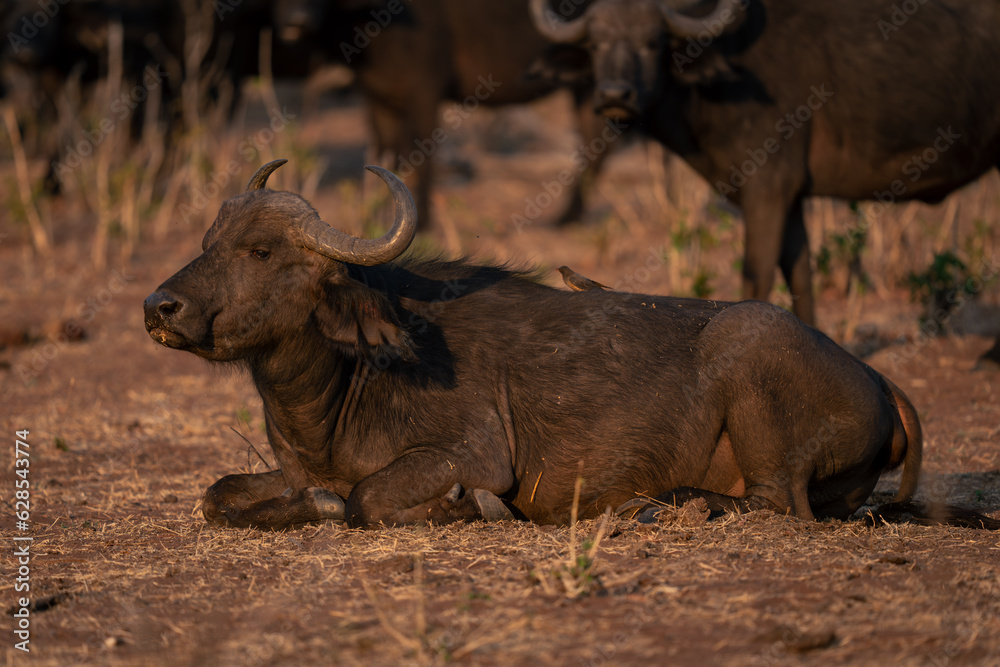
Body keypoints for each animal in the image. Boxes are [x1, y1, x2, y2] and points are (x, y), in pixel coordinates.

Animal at [143, 159, 931, 531]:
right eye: (208, 242)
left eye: (261, 251)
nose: (160, 307)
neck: (338, 385)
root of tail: (876, 380)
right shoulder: (283, 471)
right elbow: (217, 495)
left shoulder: (473, 454)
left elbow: (362, 498)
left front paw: (463, 509)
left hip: (752, 357)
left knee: (774, 500)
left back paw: (661, 505)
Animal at [530, 0, 1000, 366]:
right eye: (594, 44)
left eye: (653, 42)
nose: (614, 95)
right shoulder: (790, 199)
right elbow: (801, 274)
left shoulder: (766, 188)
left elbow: (755, 275)